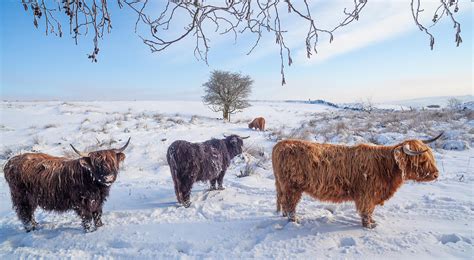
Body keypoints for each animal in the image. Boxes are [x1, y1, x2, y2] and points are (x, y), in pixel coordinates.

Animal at [3, 138, 131, 232]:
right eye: (97, 165)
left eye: (112, 162)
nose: (108, 177)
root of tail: (10, 162)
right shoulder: (82, 204)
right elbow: (87, 219)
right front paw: (90, 231)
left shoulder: (97, 202)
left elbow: (97, 216)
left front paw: (100, 228)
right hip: (22, 197)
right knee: (25, 215)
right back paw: (31, 229)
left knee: (30, 214)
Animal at [272, 133, 442, 229]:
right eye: (421, 160)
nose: (436, 174)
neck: (385, 167)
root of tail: (280, 144)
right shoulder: (366, 195)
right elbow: (367, 211)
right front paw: (369, 226)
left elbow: (371, 211)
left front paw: (373, 222)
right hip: (292, 187)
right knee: (290, 204)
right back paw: (294, 221)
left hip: (283, 186)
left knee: (283, 202)